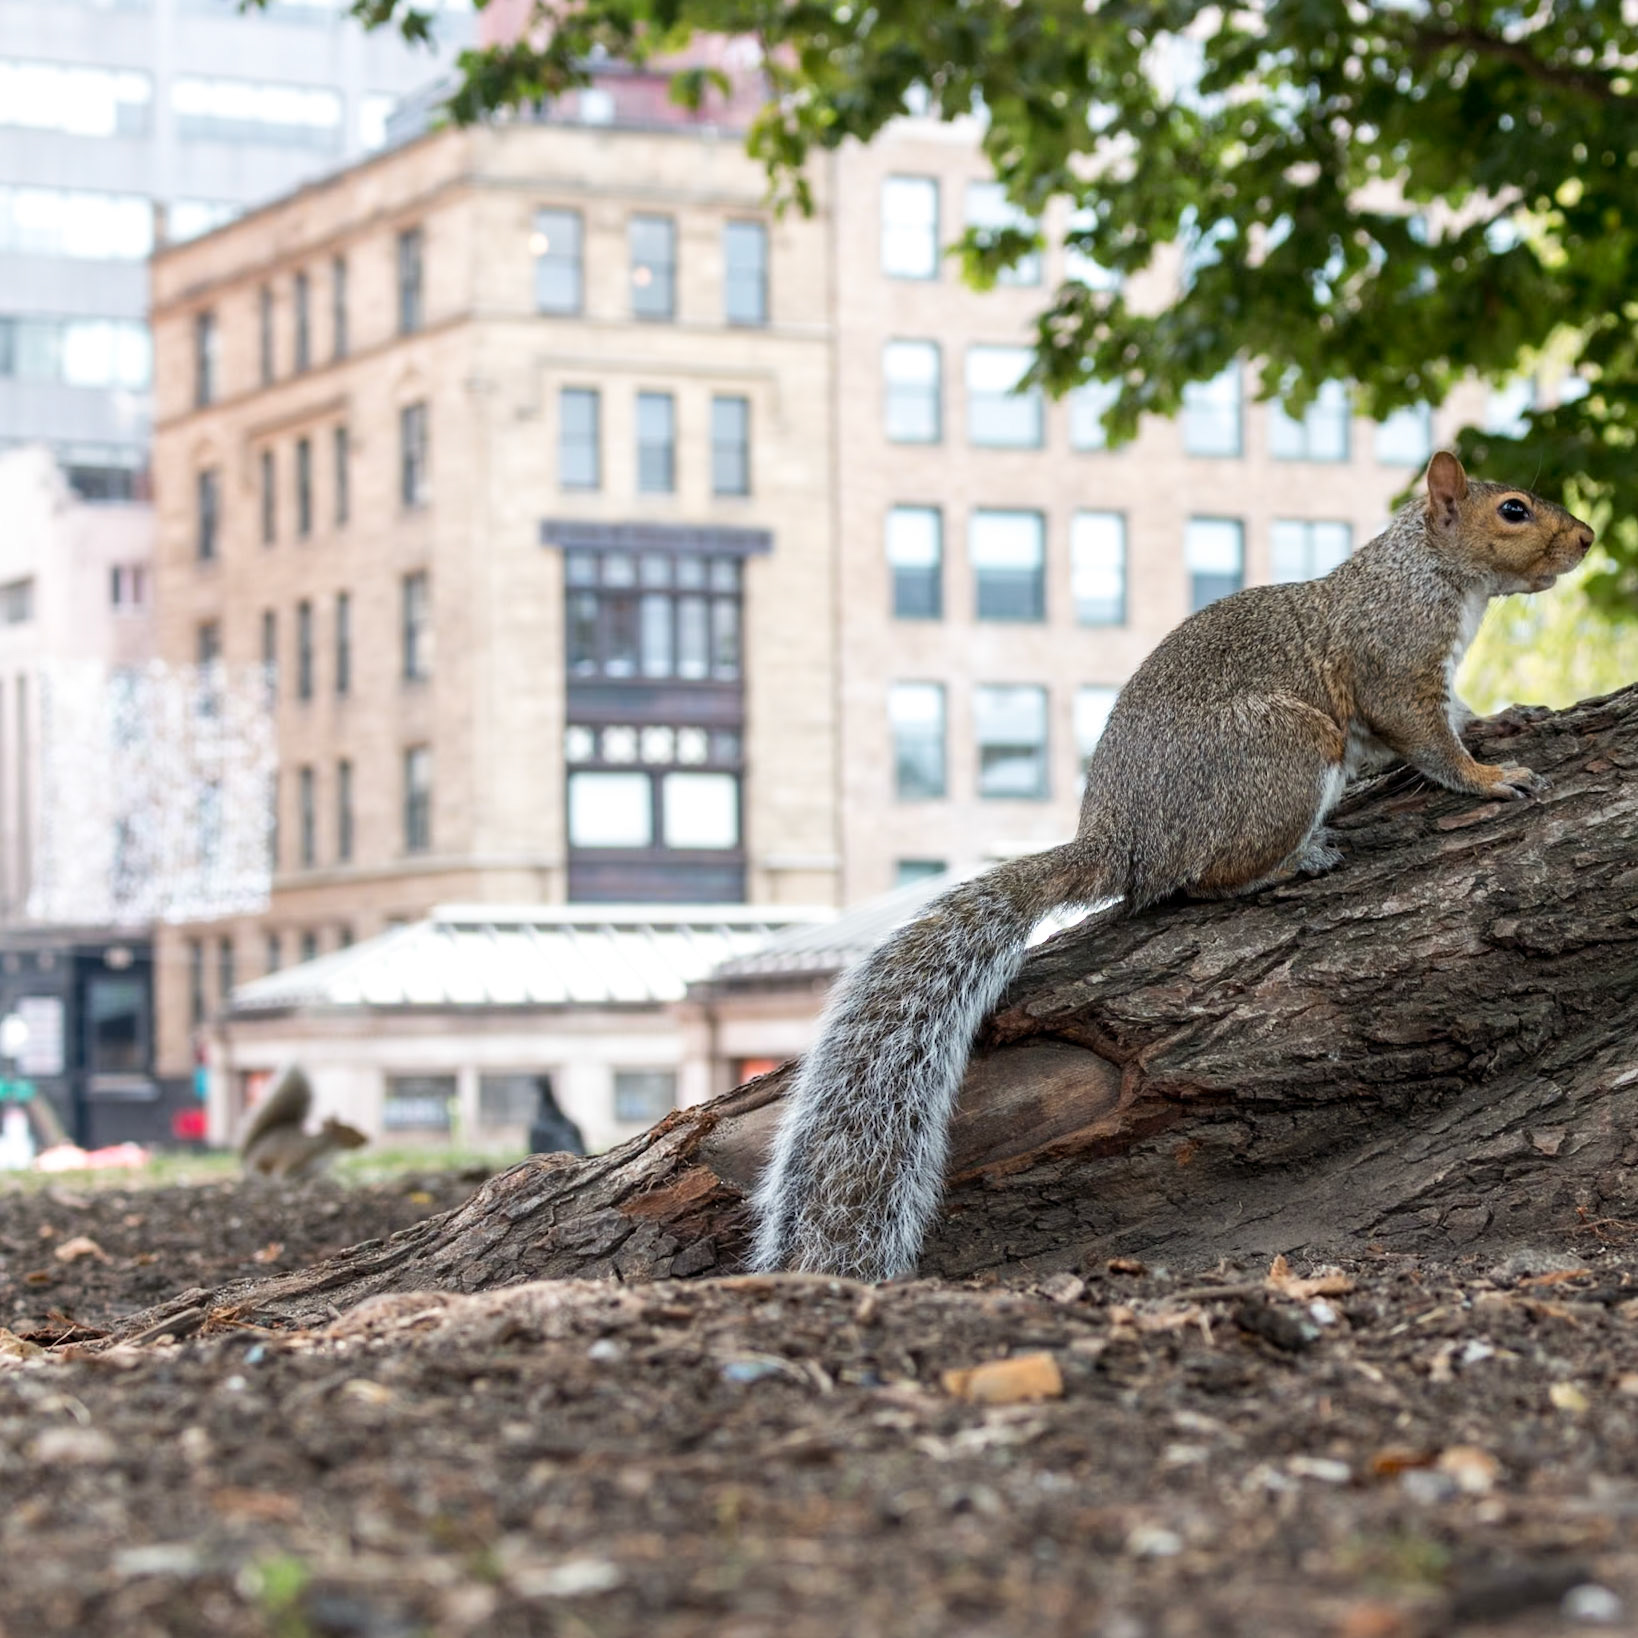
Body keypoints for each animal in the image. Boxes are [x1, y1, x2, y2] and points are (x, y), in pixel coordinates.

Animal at [239, 1065, 367, 1179]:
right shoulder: (295, 1156)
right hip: (263, 1159)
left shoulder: (315, 1173)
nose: (367, 1139)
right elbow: (282, 1172)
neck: (330, 1151)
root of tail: (248, 1155)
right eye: (350, 1129)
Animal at [751, 452, 1594, 1281]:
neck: (1432, 570)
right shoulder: (1393, 658)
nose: (1586, 538)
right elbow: (1427, 740)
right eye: (1513, 510)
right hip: (1291, 749)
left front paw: (1506, 716)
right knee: (1203, 878)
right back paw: (1293, 861)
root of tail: (1123, 838)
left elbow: (1456, 717)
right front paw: (1488, 777)